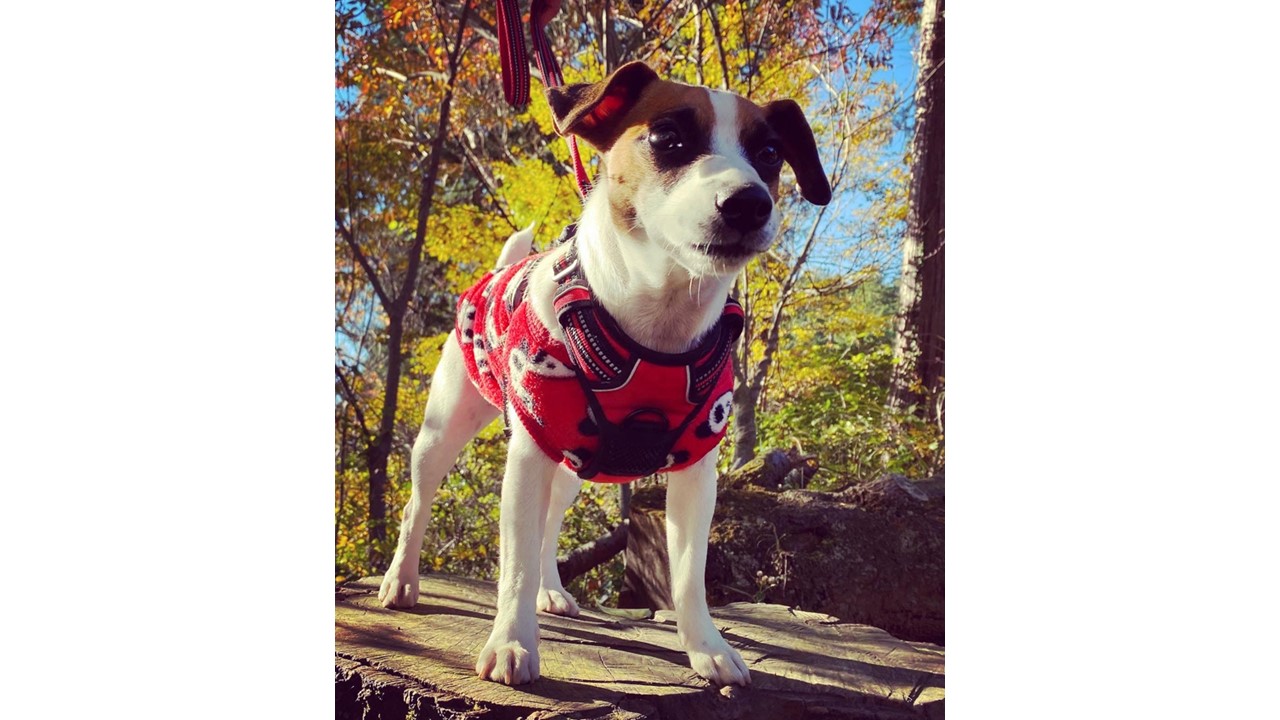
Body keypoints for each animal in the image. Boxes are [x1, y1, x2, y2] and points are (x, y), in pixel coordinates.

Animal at [373, 60, 829, 681]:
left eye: (770, 153)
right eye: (667, 138)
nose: (749, 202)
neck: (656, 325)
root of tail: (495, 274)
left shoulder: (696, 474)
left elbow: (688, 572)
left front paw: (707, 647)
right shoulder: (525, 460)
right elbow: (513, 565)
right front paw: (512, 642)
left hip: (570, 468)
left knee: (548, 527)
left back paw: (551, 589)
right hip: (443, 436)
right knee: (417, 507)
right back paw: (401, 579)